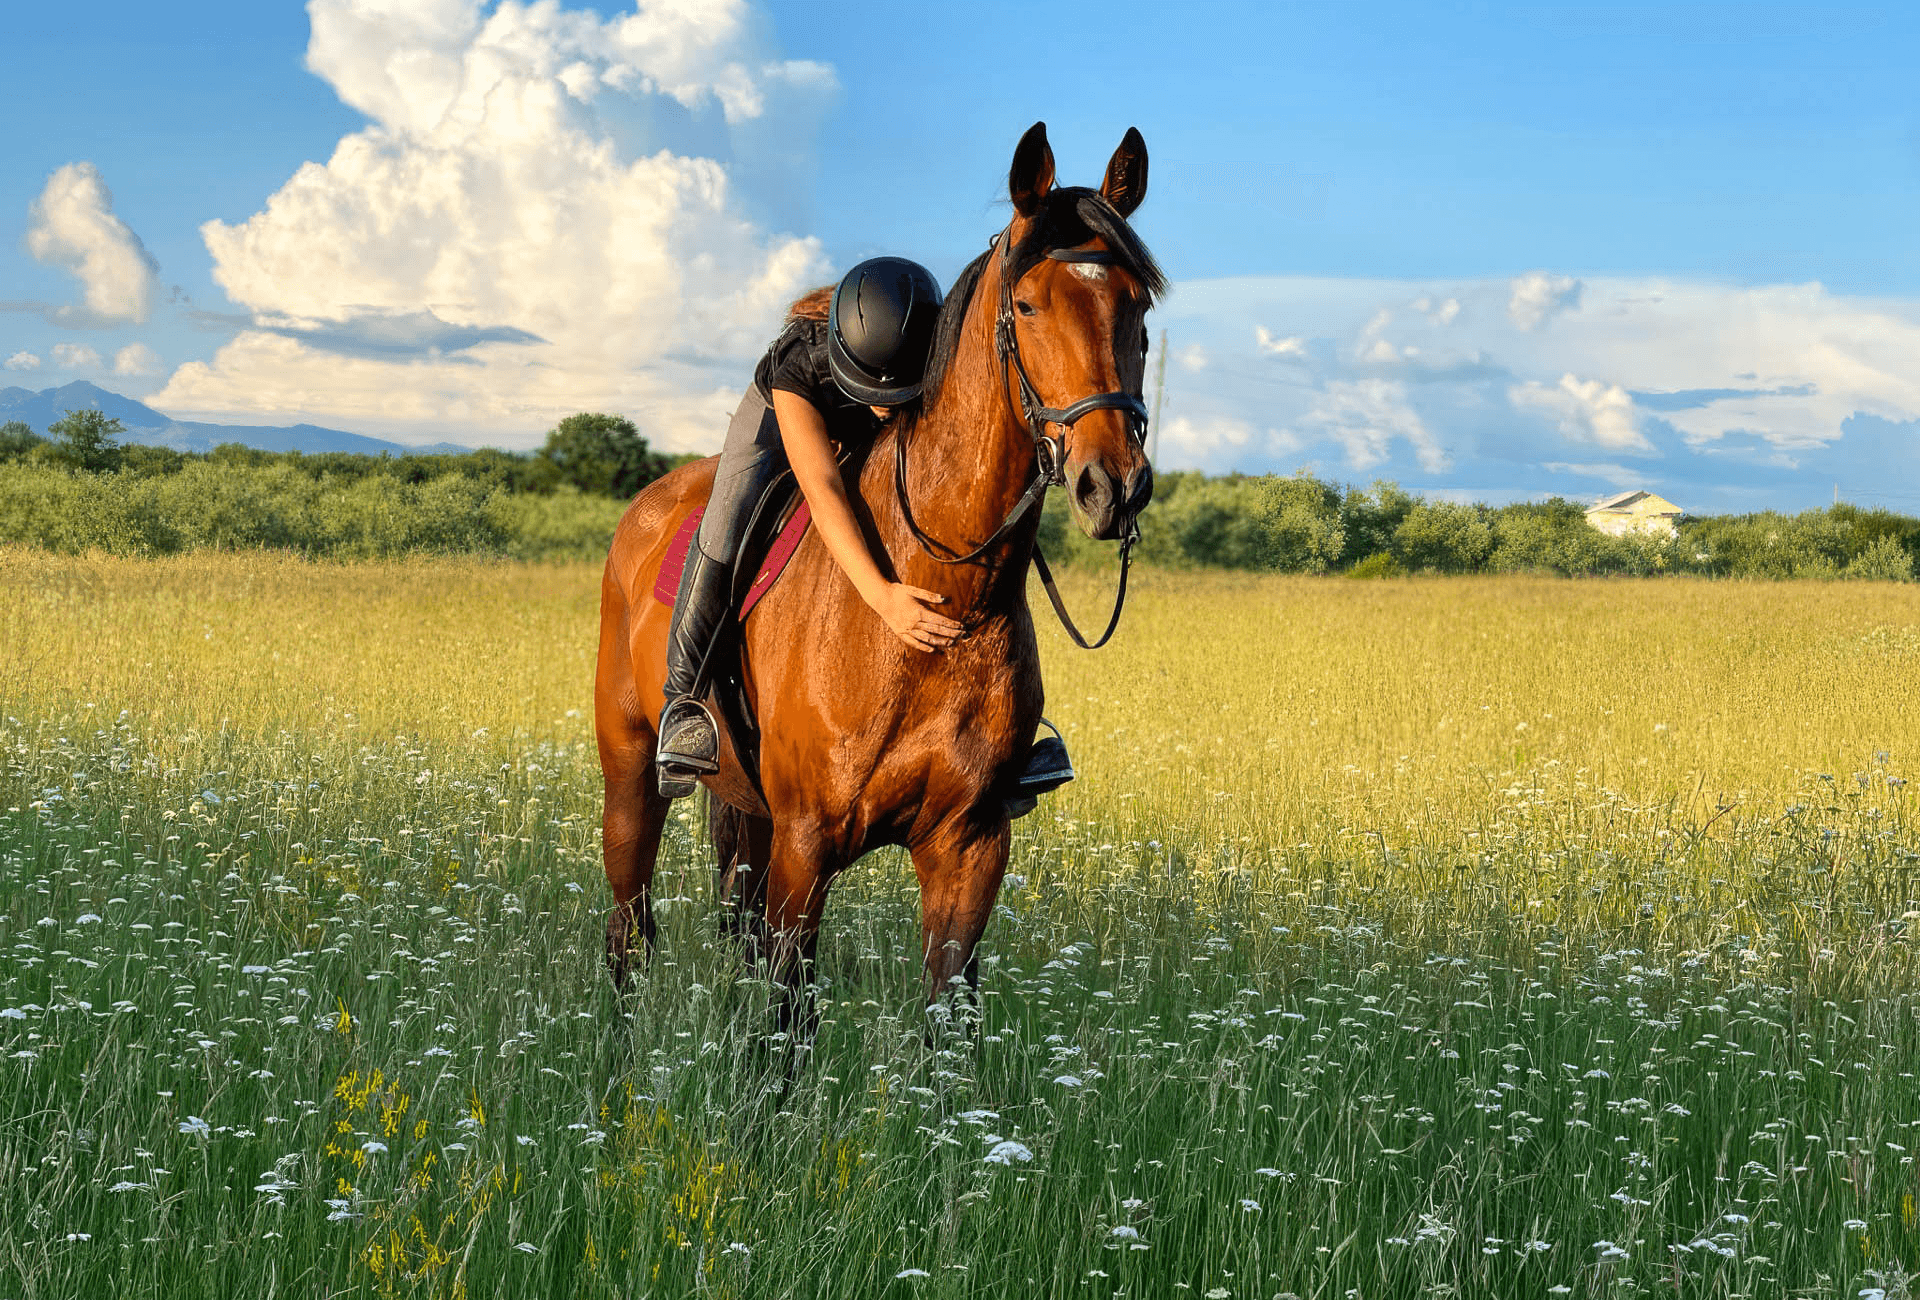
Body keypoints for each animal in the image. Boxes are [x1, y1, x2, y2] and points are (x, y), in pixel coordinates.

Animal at [591, 123, 1159, 1021]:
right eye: (1028, 306)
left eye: (1139, 305)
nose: (1114, 485)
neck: (946, 602)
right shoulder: (807, 844)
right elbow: (786, 1023)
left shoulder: (970, 846)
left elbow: (946, 1023)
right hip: (630, 775)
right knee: (628, 931)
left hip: (749, 815)